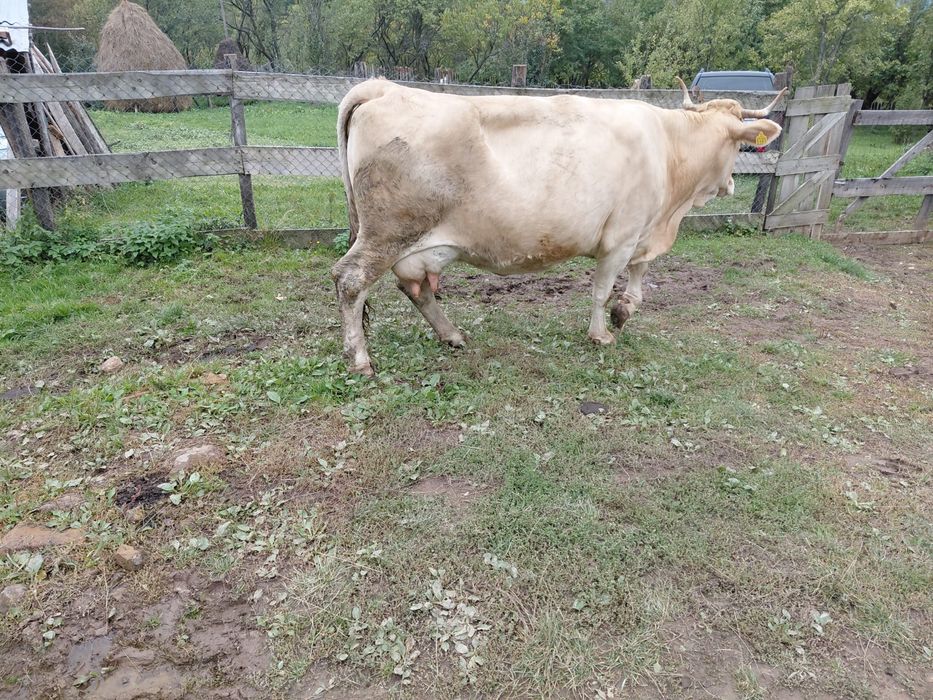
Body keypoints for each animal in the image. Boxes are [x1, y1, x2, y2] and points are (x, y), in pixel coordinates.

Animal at [333, 78, 786, 375]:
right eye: (739, 145)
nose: (731, 184)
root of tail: (383, 87)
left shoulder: (644, 230)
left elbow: (639, 277)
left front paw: (625, 310)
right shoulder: (621, 235)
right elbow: (602, 289)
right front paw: (602, 333)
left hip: (414, 242)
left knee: (415, 288)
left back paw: (453, 335)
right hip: (387, 232)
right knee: (351, 280)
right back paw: (360, 359)